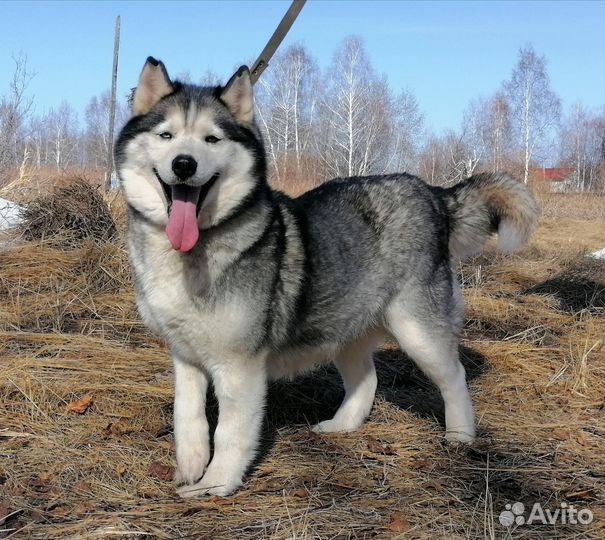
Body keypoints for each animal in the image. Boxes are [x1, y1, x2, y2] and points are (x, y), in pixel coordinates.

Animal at [114, 58, 536, 498]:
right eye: (166, 135)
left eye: (211, 139)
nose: (184, 164)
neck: (193, 252)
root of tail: (433, 193)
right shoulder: (185, 357)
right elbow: (189, 418)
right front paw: (190, 469)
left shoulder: (240, 367)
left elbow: (230, 432)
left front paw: (216, 484)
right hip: (344, 330)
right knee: (367, 380)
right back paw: (342, 425)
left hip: (417, 331)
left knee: (455, 377)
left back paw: (460, 435)